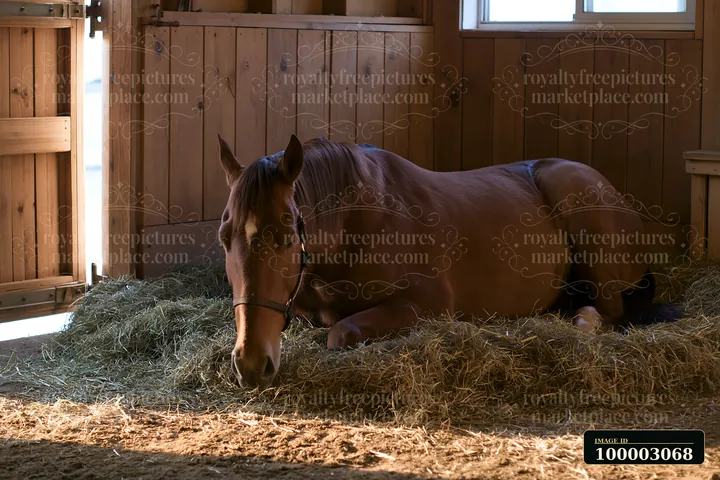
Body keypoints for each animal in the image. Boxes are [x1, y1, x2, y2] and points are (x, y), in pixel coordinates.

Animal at [217, 134, 680, 389]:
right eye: (224, 238)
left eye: (286, 237)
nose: (251, 365)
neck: (358, 221)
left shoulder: (427, 305)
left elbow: (342, 332)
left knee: (610, 311)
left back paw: (581, 322)